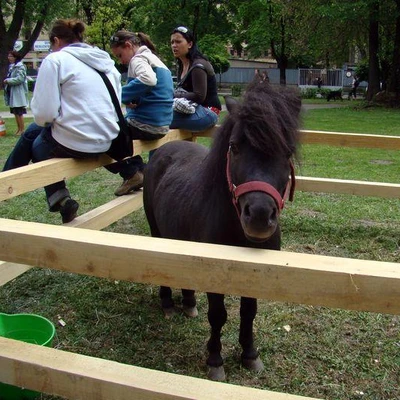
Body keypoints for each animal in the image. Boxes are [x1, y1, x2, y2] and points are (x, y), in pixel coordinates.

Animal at [143, 82, 300, 382]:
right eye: (234, 147)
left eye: (287, 152)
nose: (259, 216)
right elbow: (218, 315)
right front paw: (215, 360)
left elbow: (249, 312)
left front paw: (250, 354)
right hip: (158, 233)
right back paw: (168, 304)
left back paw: (189, 302)